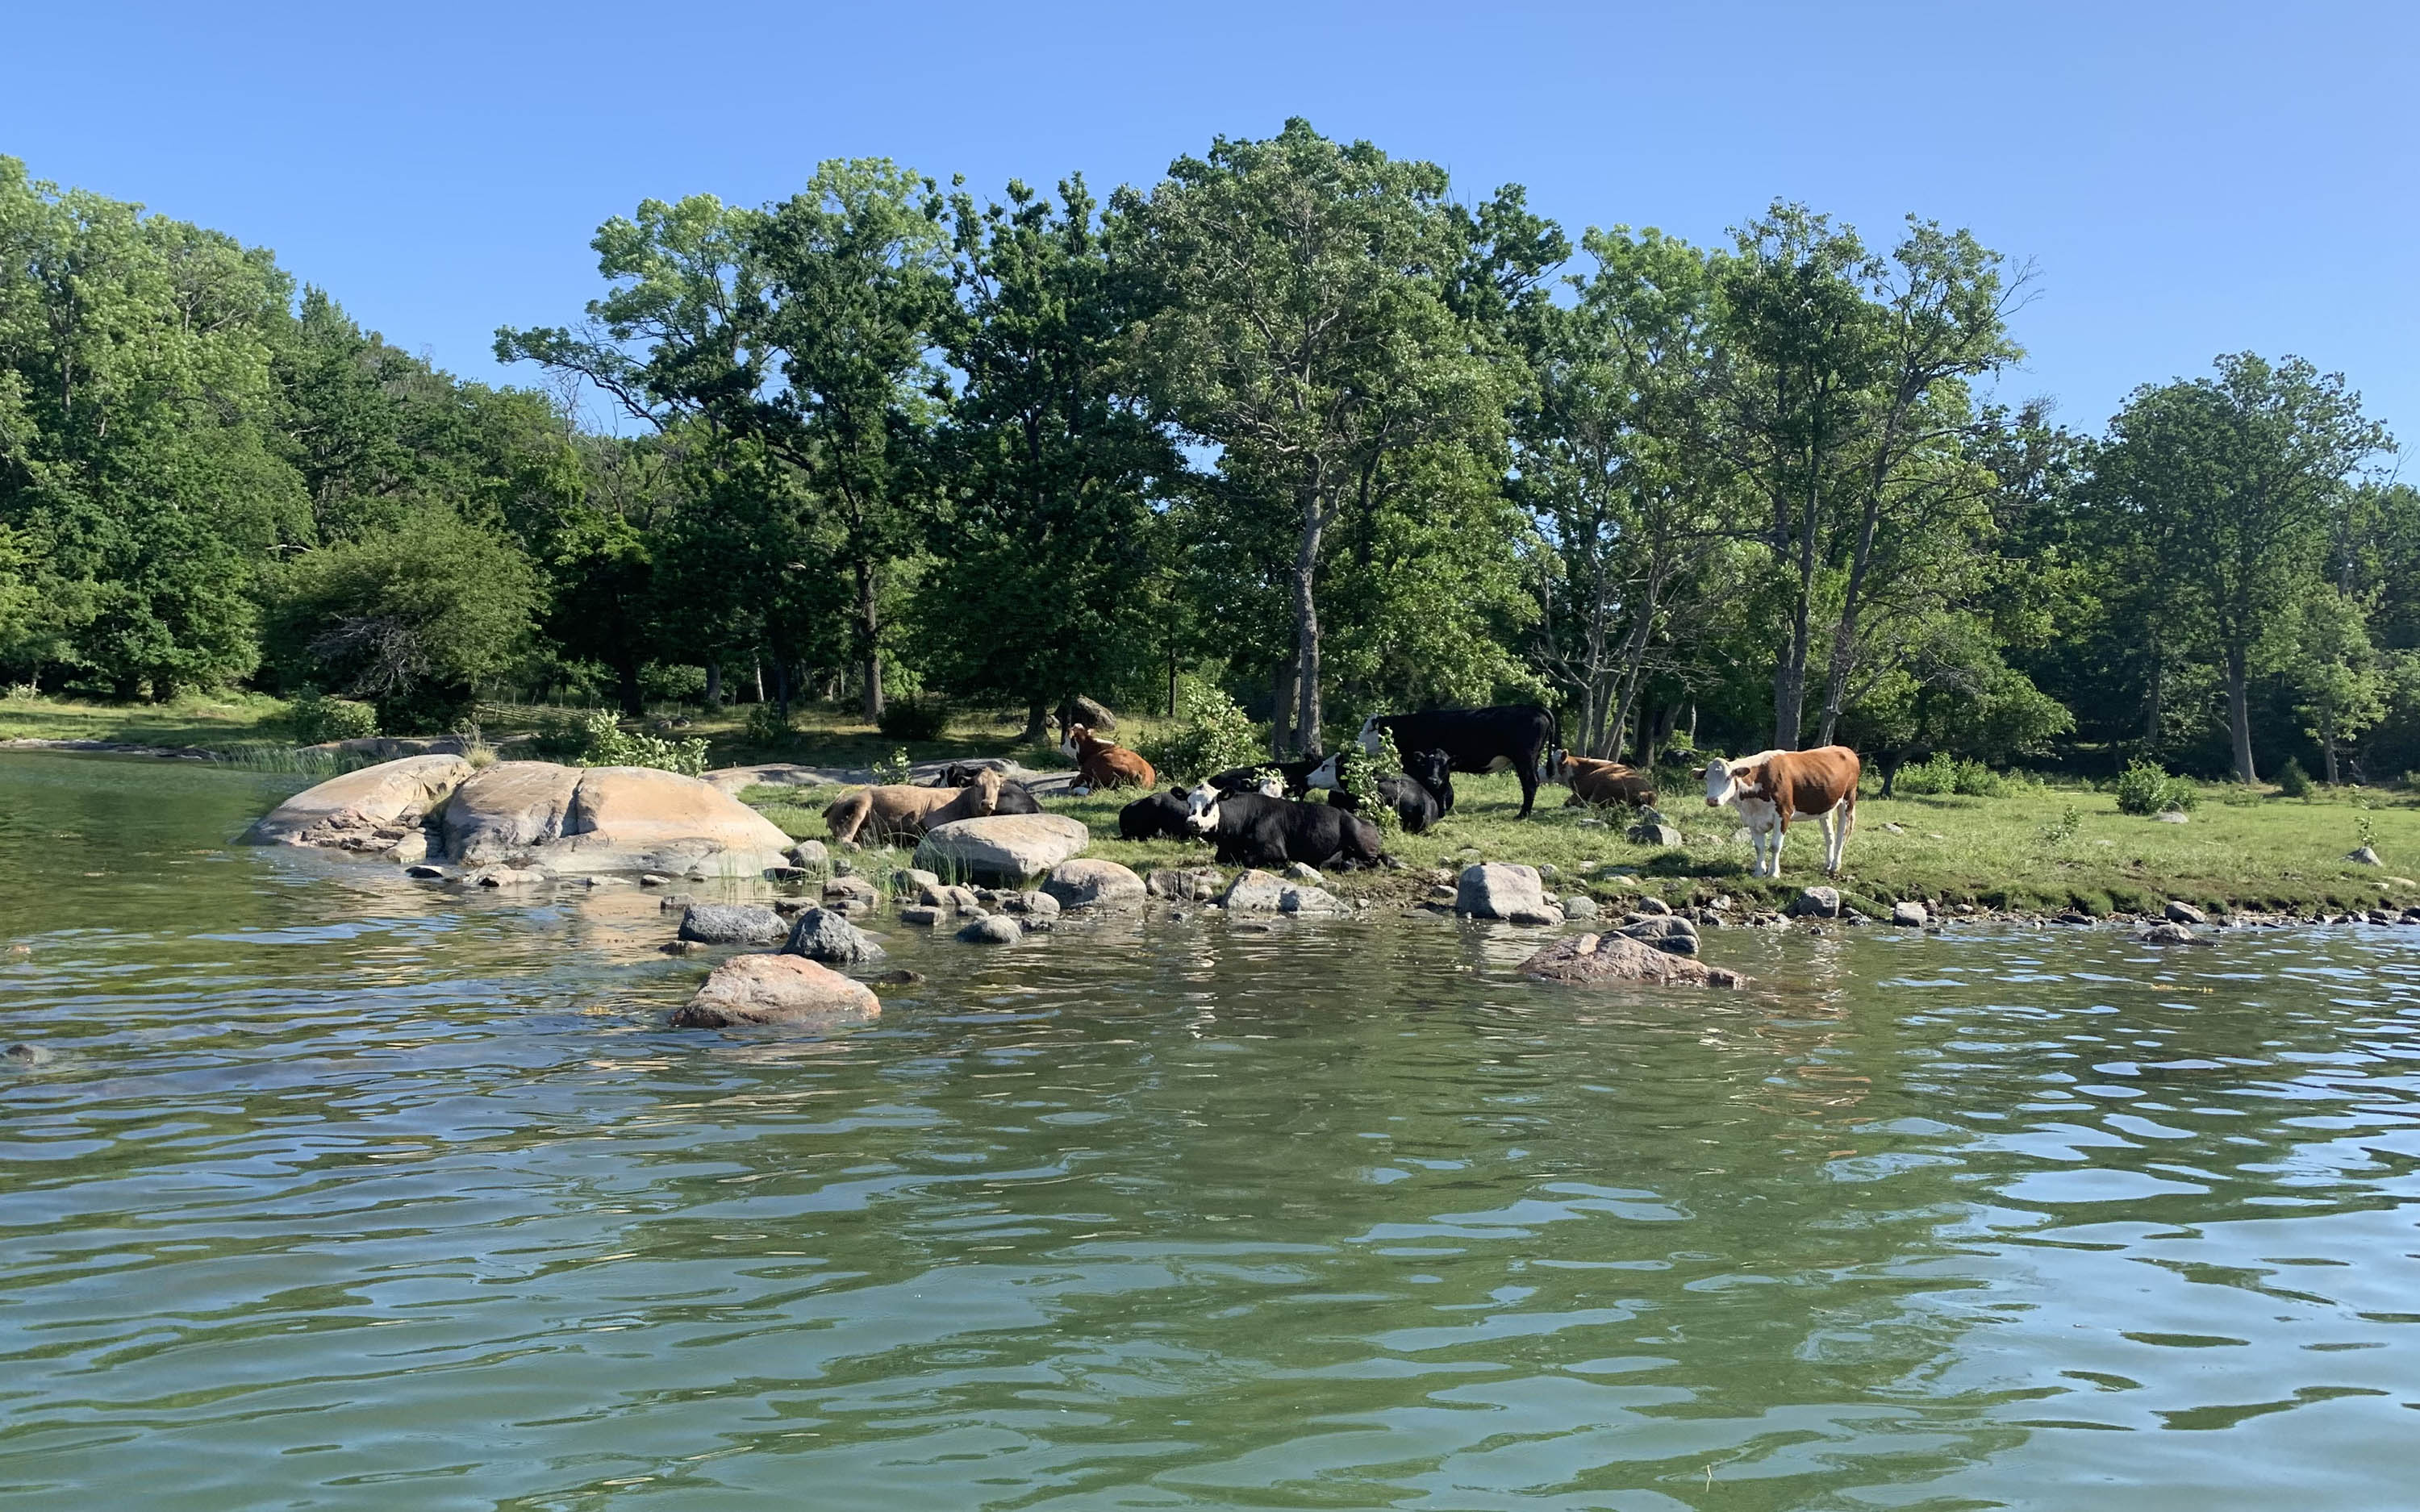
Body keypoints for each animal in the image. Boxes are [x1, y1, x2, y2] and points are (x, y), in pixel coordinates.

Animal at [1176, 784, 1384, 866]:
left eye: (1210, 803)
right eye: (1188, 802)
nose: (1192, 822)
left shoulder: (1274, 848)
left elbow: (1249, 859)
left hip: (1359, 838)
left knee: (1371, 861)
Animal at [1355, 706, 1558, 818]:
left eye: (1369, 730)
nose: (1356, 746)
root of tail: (1534, 708)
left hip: (1524, 758)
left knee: (1530, 783)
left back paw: (1522, 814)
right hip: (1532, 759)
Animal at [1704, 745, 1868, 881]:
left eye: (1728, 778)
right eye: (1706, 778)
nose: (1712, 800)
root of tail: (1847, 750)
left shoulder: (1784, 813)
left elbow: (1775, 846)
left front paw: (1773, 873)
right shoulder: (1752, 818)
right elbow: (1759, 847)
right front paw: (1759, 872)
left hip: (1848, 799)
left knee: (1842, 834)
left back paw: (1835, 866)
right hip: (1825, 806)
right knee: (1830, 837)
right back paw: (1828, 864)